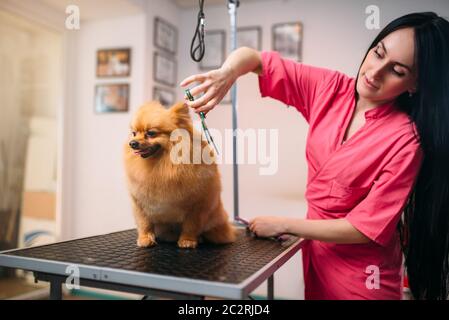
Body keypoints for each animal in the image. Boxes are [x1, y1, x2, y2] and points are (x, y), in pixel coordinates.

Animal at [122, 101, 234, 249]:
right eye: (134, 133)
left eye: (151, 133)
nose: (132, 143)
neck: (163, 165)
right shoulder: (140, 202)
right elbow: (145, 223)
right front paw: (145, 238)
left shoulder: (197, 205)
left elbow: (191, 225)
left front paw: (187, 240)